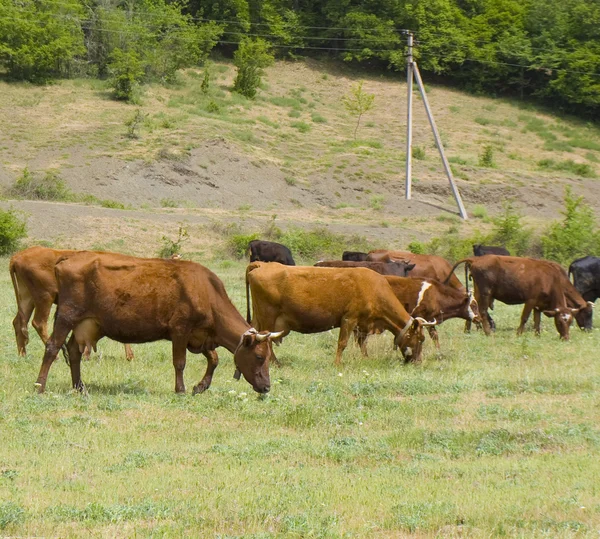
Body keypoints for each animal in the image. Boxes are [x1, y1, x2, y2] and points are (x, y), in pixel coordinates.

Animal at [34, 253, 282, 396]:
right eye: (259, 356)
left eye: (268, 357)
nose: (266, 387)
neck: (206, 292)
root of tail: (67, 258)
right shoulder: (180, 329)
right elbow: (180, 363)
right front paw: (181, 390)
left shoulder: (201, 337)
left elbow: (214, 359)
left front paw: (201, 386)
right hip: (67, 316)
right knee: (52, 347)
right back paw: (40, 386)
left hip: (87, 323)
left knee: (74, 351)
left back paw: (79, 386)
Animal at [245, 262, 436, 364]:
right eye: (421, 339)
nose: (418, 362)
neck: (373, 288)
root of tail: (262, 264)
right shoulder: (349, 319)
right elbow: (342, 343)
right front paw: (337, 364)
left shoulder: (361, 325)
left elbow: (362, 344)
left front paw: (365, 359)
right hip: (268, 317)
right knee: (267, 339)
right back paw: (274, 362)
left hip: (259, 317)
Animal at [448, 255, 584, 340]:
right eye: (559, 322)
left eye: (570, 321)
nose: (566, 338)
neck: (549, 279)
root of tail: (476, 259)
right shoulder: (530, 300)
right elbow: (524, 318)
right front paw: (519, 334)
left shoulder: (538, 305)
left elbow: (537, 321)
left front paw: (537, 335)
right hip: (485, 293)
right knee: (482, 311)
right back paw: (488, 332)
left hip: (478, 292)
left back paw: (467, 330)